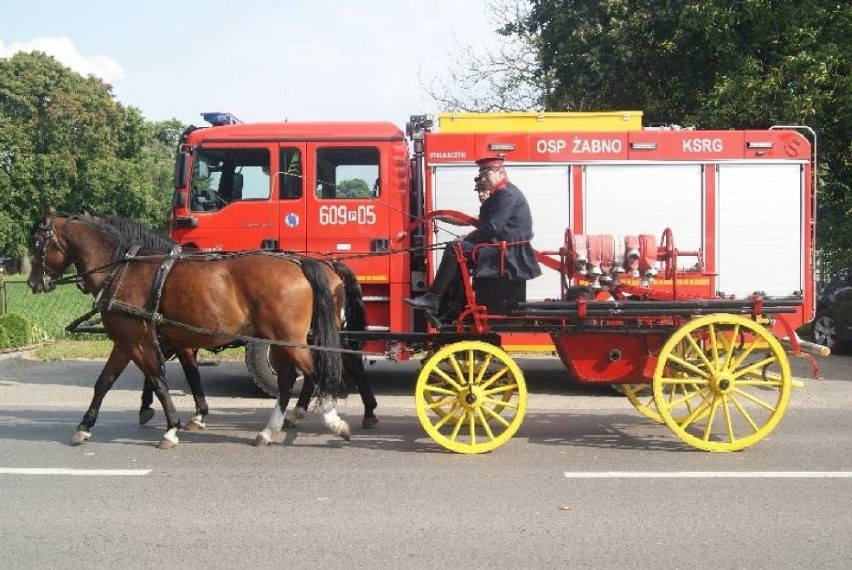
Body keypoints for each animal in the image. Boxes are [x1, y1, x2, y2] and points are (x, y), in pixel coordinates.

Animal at [29, 209, 350, 448]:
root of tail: (301, 264)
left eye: (36, 244)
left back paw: (333, 421)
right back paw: (271, 429)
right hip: (280, 339)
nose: (34, 283)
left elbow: (158, 380)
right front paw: (85, 425)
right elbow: (106, 381)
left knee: (313, 372)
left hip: (287, 339)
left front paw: (171, 427)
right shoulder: (132, 341)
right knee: (288, 379)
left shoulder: (136, 342)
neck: (122, 268)